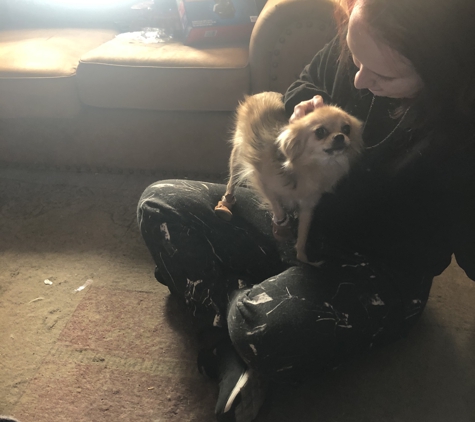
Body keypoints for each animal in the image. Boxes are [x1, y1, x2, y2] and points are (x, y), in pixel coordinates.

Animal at [216, 91, 364, 266]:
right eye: (320, 132)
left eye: (347, 129)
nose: (340, 136)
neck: (313, 167)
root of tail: (262, 93)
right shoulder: (263, 182)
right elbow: (277, 207)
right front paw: (282, 227)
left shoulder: (308, 205)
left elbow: (303, 234)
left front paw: (303, 258)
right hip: (237, 155)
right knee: (231, 181)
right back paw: (226, 203)